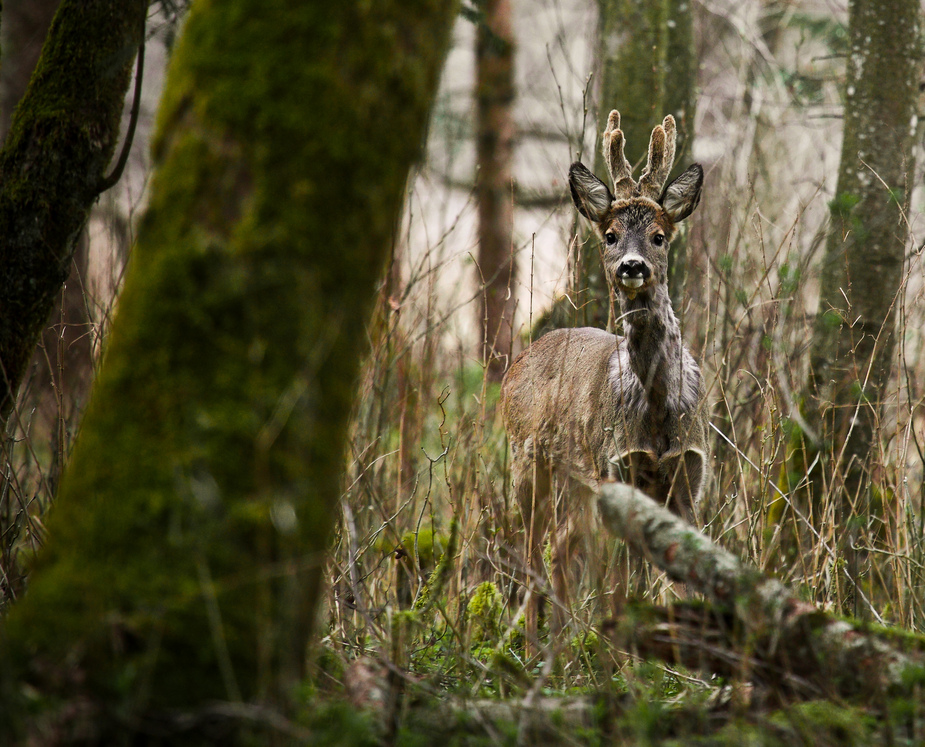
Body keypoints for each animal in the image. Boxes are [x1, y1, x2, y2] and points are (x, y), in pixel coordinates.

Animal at [502, 109, 704, 656]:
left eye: (659, 235)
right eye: (611, 234)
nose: (632, 266)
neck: (656, 410)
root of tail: (523, 355)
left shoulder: (688, 476)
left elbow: (686, 576)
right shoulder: (616, 470)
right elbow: (618, 585)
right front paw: (627, 663)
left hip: (578, 480)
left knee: (561, 549)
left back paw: (560, 647)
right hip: (529, 459)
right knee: (534, 552)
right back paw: (536, 651)